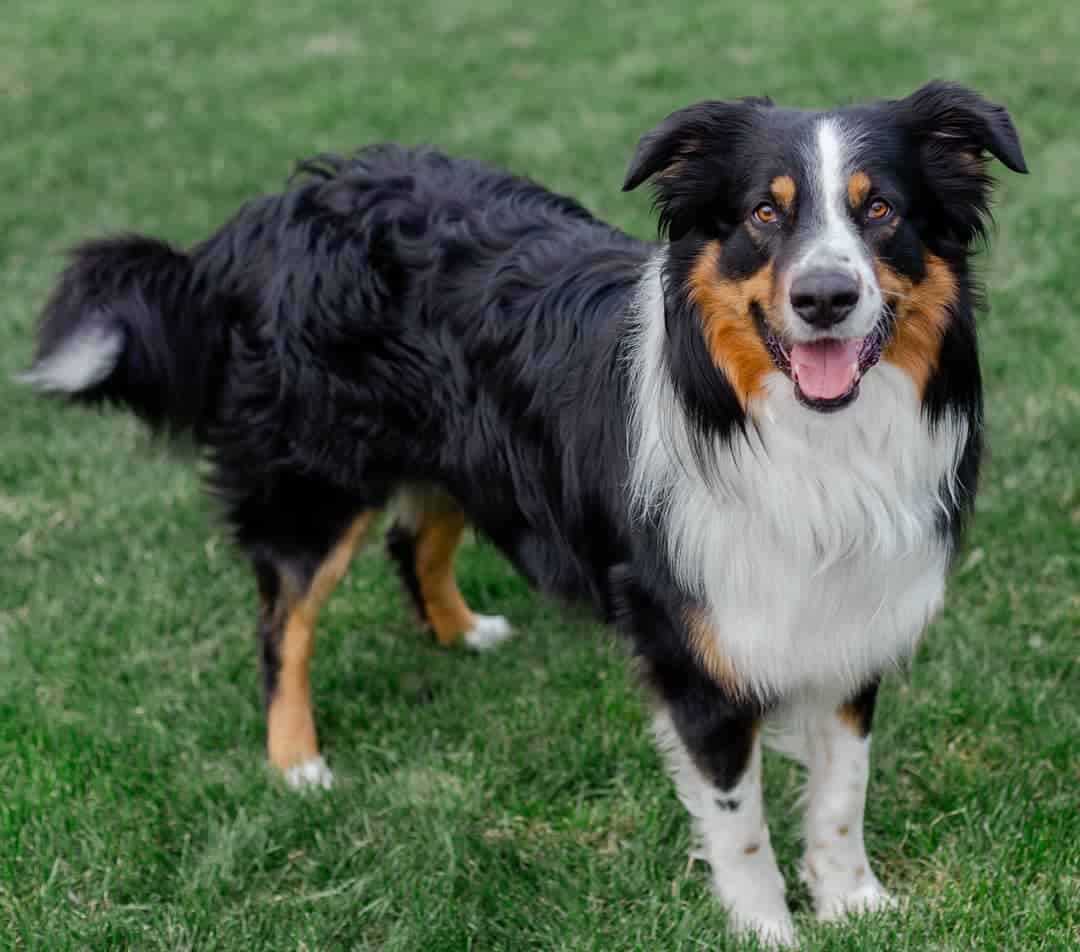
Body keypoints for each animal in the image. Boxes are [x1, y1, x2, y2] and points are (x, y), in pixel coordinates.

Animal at [21, 83, 1023, 942]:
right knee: (284, 621)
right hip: (316, 481)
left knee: (414, 537)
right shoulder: (692, 646)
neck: (797, 432)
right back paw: (298, 762)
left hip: (464, 448)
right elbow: (739, 823)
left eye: (880, 210)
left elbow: (844, 790)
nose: (824, 298)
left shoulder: (852, 613)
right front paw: (767, 929)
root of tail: (275, 212)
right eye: (763, 215)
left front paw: (853, 901)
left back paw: (462, 633)